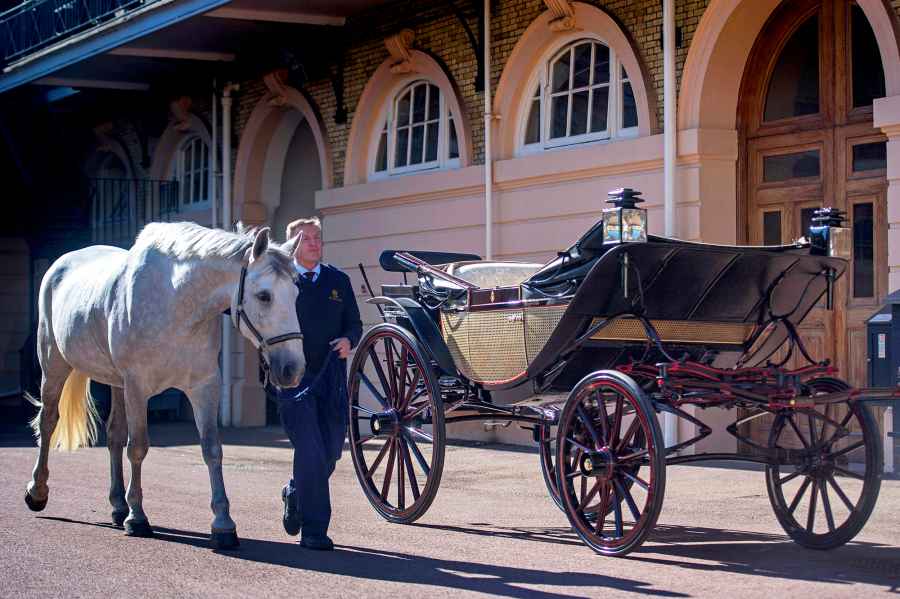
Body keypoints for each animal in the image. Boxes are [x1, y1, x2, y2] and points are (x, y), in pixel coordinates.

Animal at [23, 221, 306, 548]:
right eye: (264, 296)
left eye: (296, 293)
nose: (293, 368)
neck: (176, 302)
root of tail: (61, 263)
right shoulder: (137, 386)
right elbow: (138, 447)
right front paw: (138, 518)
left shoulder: (204, 386)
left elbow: (212, 449)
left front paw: (223, 525)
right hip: (55, 365)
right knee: (48, 421)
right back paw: (38, 491)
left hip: (117, 383)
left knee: (114, 435)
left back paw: (118, 506)